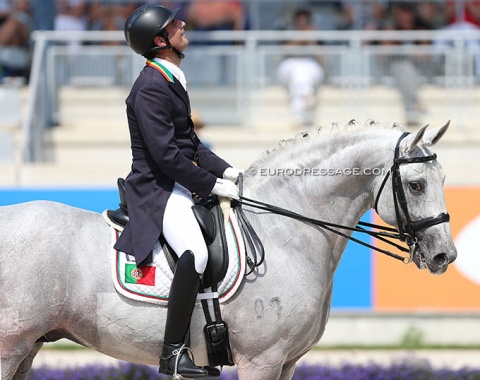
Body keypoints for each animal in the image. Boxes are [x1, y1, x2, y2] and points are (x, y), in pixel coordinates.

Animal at [0, 121, 458, 380]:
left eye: (442, 179)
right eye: (417, 184)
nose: (444, 256)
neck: (286, 228)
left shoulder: (286, 363)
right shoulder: (263, 360)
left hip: (29, 347)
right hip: (11, 345)